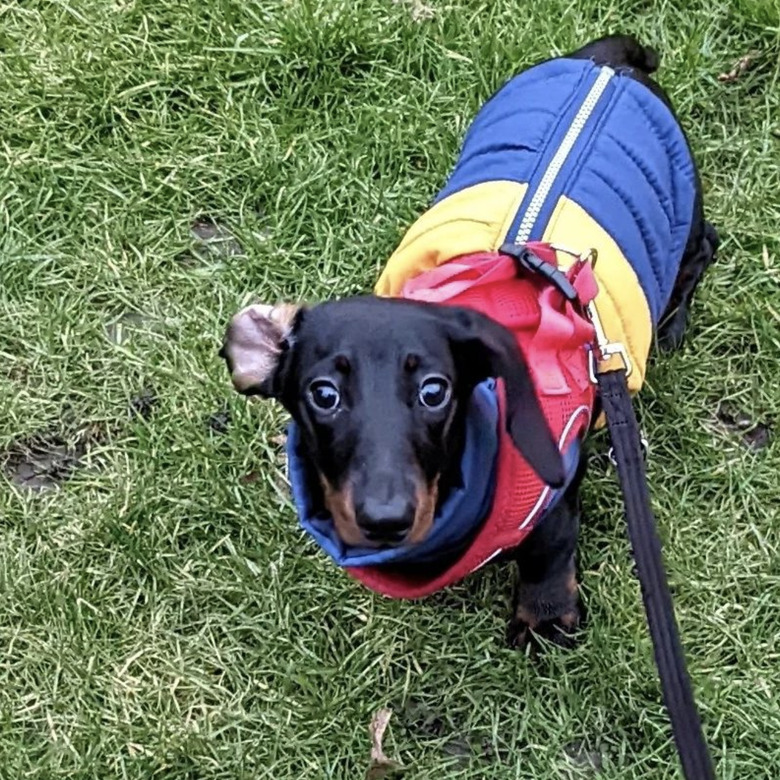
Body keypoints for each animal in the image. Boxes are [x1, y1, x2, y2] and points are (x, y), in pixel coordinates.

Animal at [219, 33, 720, 648]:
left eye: (435, 391)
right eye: (324, 394)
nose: (385, 519)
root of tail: (608, 61)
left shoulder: (556, 478)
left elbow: (548, 549)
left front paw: (544, 618)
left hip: (684, 208)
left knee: (703, 247)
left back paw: (671, 324)